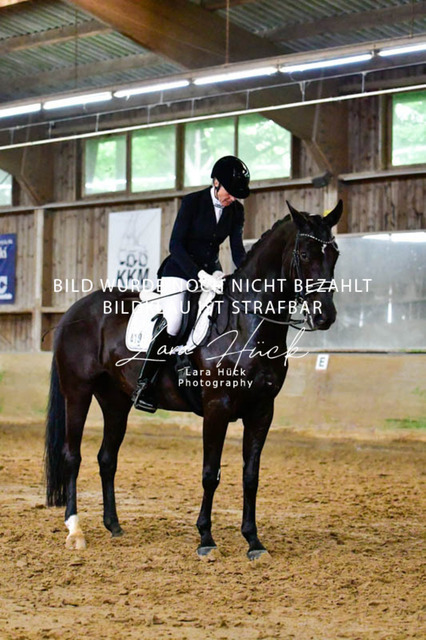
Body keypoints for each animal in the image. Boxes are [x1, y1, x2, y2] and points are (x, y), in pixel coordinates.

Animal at [45, 200, 342, 559]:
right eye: (304, 253)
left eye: (334, 254)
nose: (325, 316)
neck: (246, 324)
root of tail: (72, 313)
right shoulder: (216, 409)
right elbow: (210, 474)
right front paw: (206, 539)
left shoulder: (261, 411)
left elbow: (251, 476)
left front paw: (254, 541)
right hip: (78, 392)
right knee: (72, 455)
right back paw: (75, 530)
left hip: (115, 400)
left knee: (107, 458)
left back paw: (114, 526)